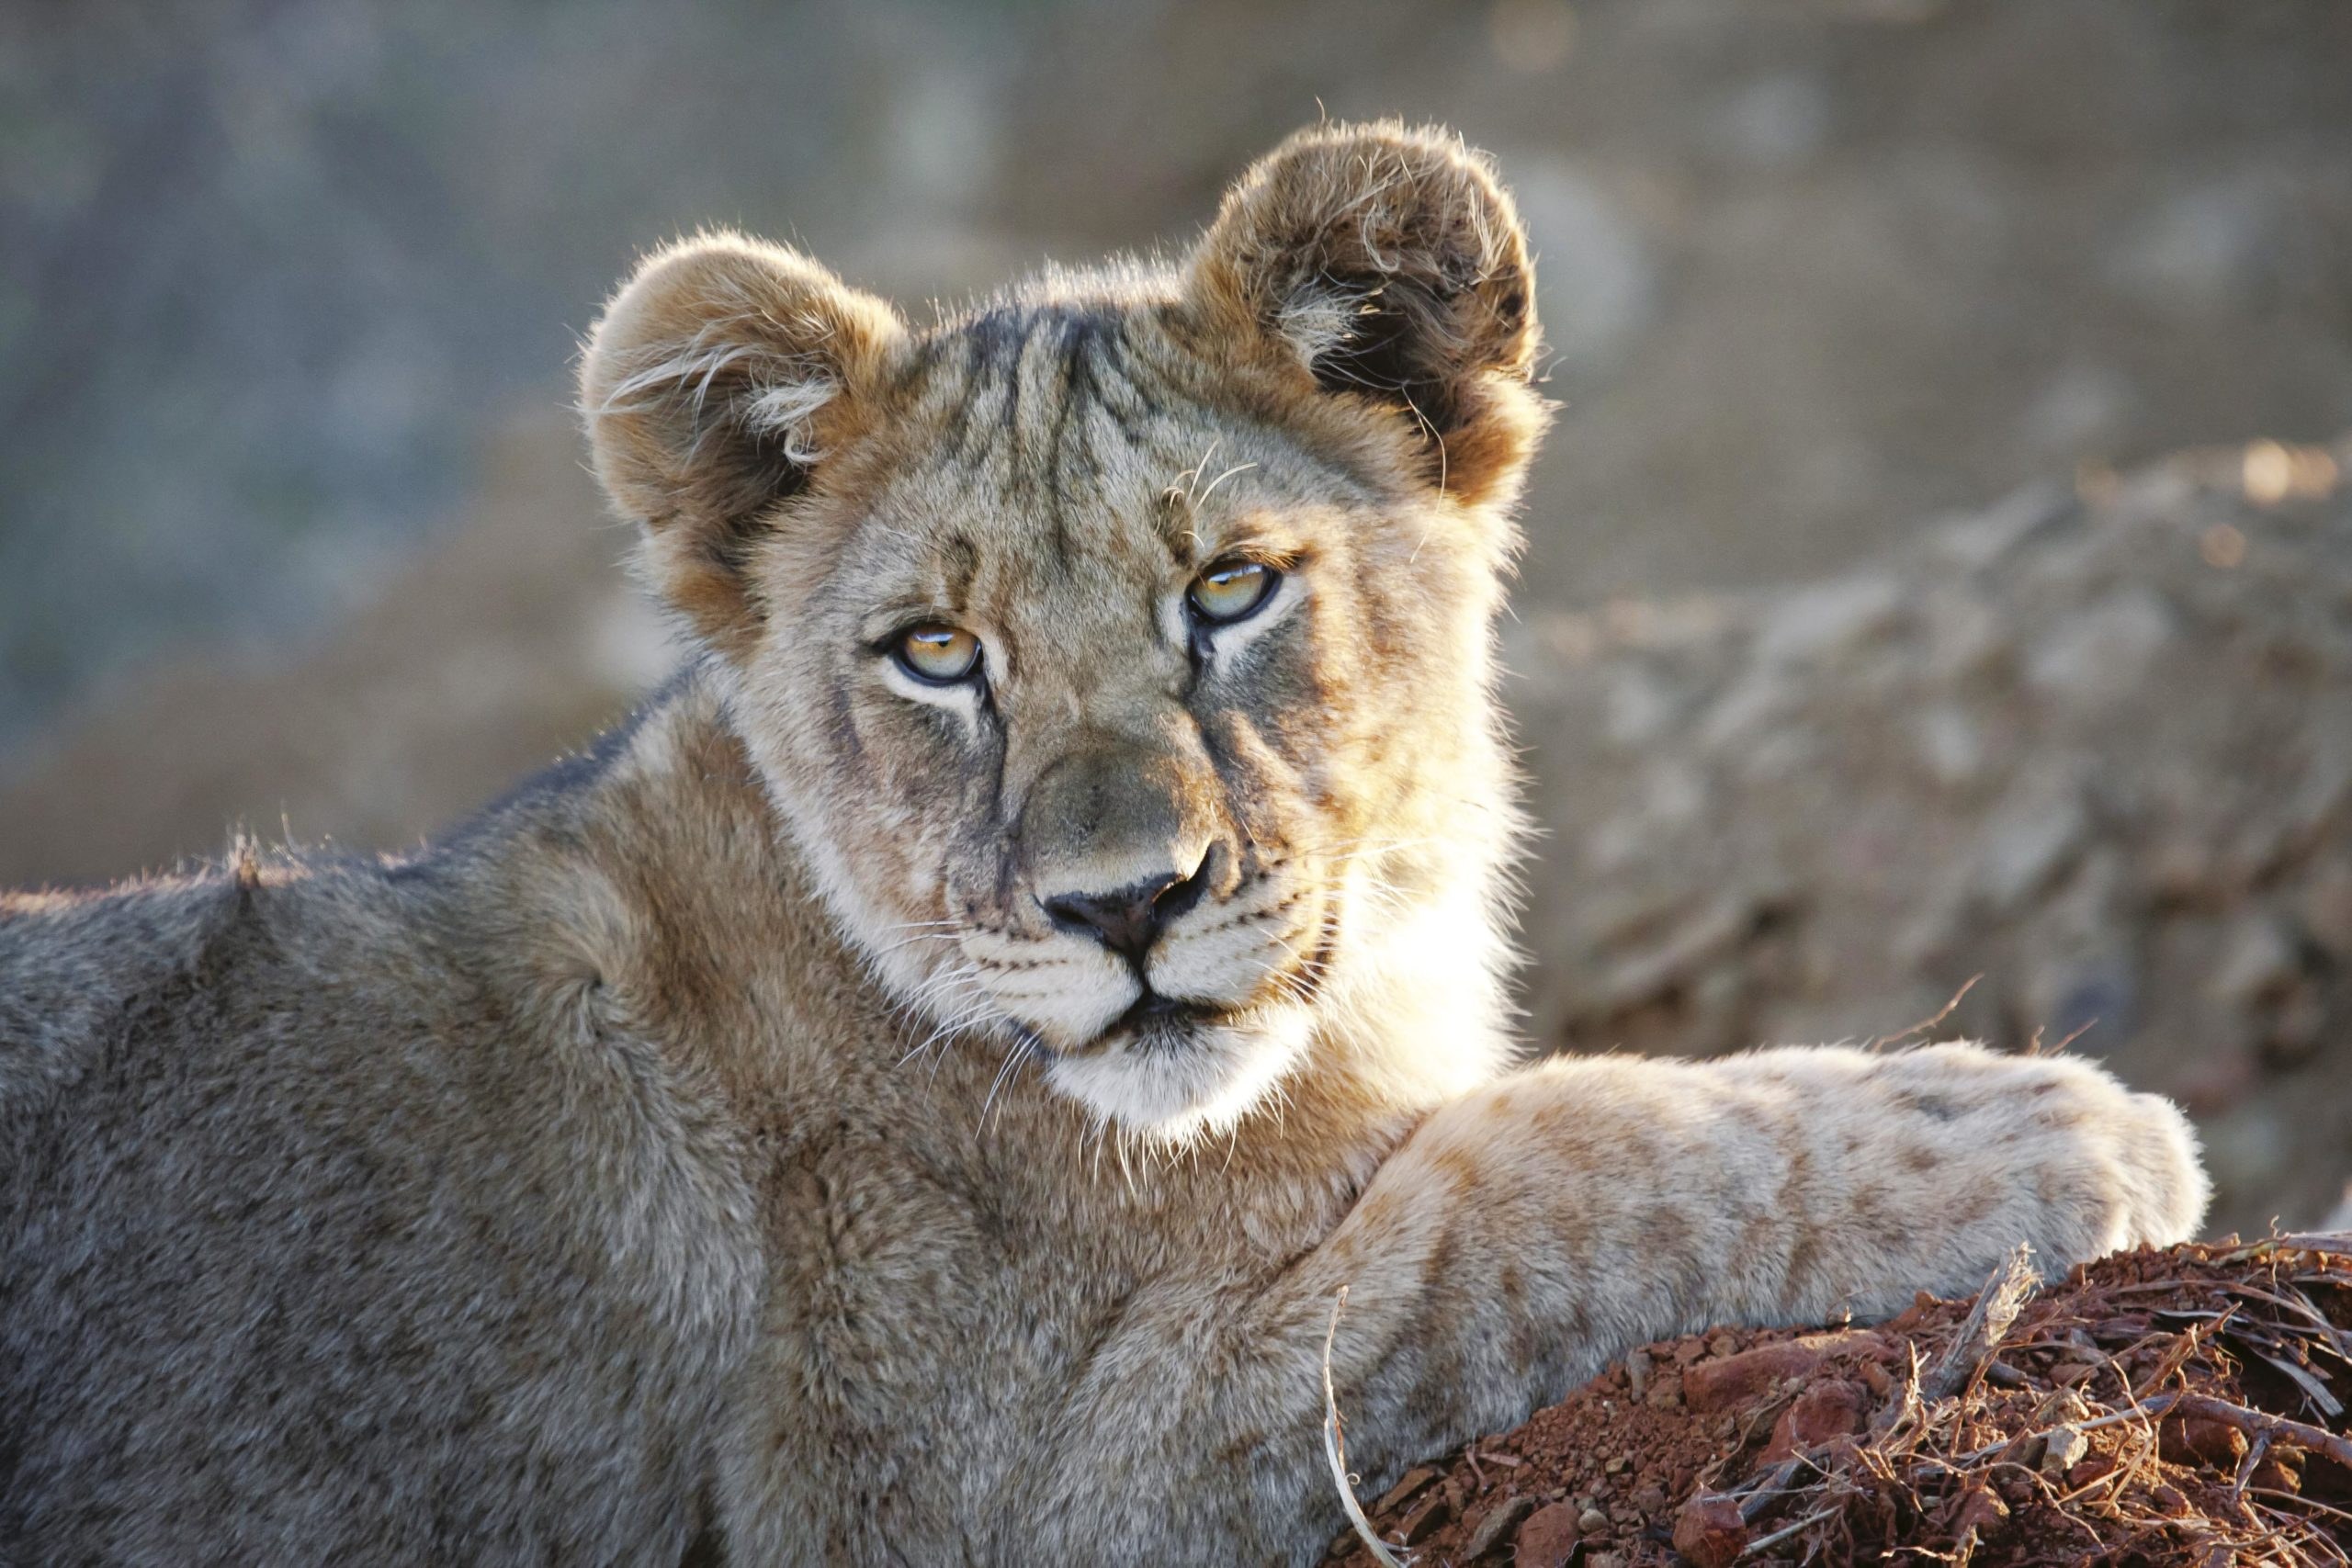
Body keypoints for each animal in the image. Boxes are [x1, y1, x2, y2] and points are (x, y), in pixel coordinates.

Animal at [0, 122, 2205, 1565]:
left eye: (1226, 590)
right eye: (934, 651)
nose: (1125, 906)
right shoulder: (1029, 1477)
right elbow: (1537, 1174)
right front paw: (2030, 1129)